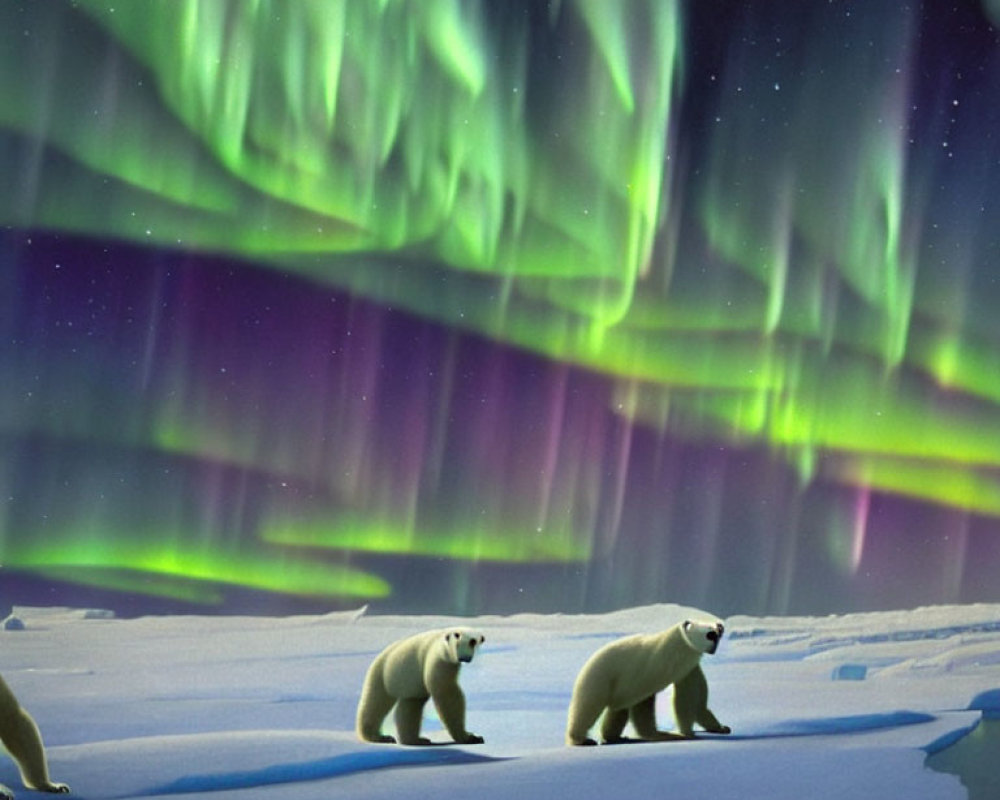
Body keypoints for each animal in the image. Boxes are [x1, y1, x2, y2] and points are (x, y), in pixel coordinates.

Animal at [358, 628, 486, 748]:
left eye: (474, 642)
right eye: (467, 642)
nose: (465, 658)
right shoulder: (439, 659)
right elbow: (446, 692)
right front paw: (469, 737)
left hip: (410, 682)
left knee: (411, 704)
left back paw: (414, 739)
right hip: (382, 673)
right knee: (376, 702)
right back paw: (378, 736)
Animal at [564, 620, 736, 744]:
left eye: (717, 629)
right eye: (710, 633)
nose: (720, 627)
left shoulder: (688, 667)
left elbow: (695, 699)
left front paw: (721, 727)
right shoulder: (649, 669)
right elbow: (645, 704)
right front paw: (679, 734)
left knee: (617, 711)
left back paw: (616, 737)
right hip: (599, 678)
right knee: (588, 707)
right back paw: (582, 739)